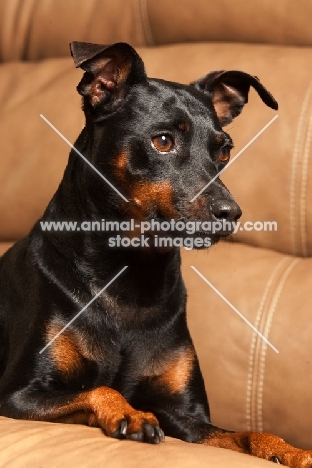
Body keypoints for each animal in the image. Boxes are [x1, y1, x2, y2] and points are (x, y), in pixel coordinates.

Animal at [0, 42, 310, 466]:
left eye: (225, 151)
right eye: (162, 141)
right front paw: (132, 414)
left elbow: (247, 434)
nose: (231, 213)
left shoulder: (186, 416)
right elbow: (103, 389)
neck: (132, 274)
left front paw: (289, 450)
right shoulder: (19, 396)